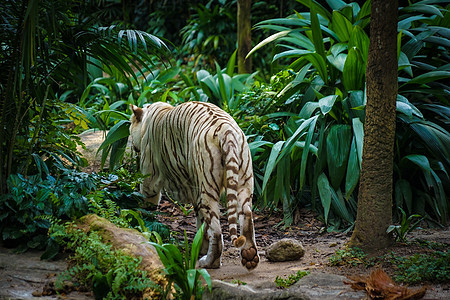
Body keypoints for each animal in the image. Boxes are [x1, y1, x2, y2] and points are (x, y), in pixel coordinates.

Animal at [128, 101, 258, 270]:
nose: (132, 146)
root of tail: (227, 131)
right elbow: (201, 223)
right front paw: (201, 246)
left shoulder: (150, 176)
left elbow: (147, 202)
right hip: (244, 182)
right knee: (247, 216)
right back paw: (249, 256)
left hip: (208, 188)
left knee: (217, 231)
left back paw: (209, 262)